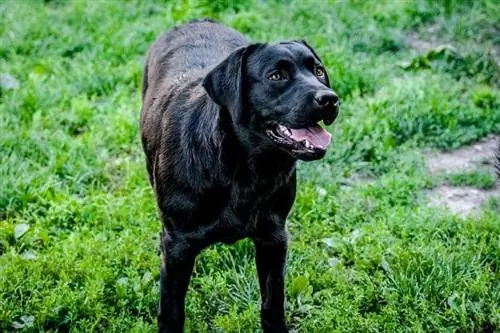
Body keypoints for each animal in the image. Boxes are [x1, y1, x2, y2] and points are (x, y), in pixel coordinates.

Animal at [139, 18, 338, 332]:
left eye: (318, 71)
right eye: (276, 76)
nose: (329, 99)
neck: (244, 168)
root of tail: (195, 20)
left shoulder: (273, 238)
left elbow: (273, 303)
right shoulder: (176, 246)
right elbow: (171, 312)